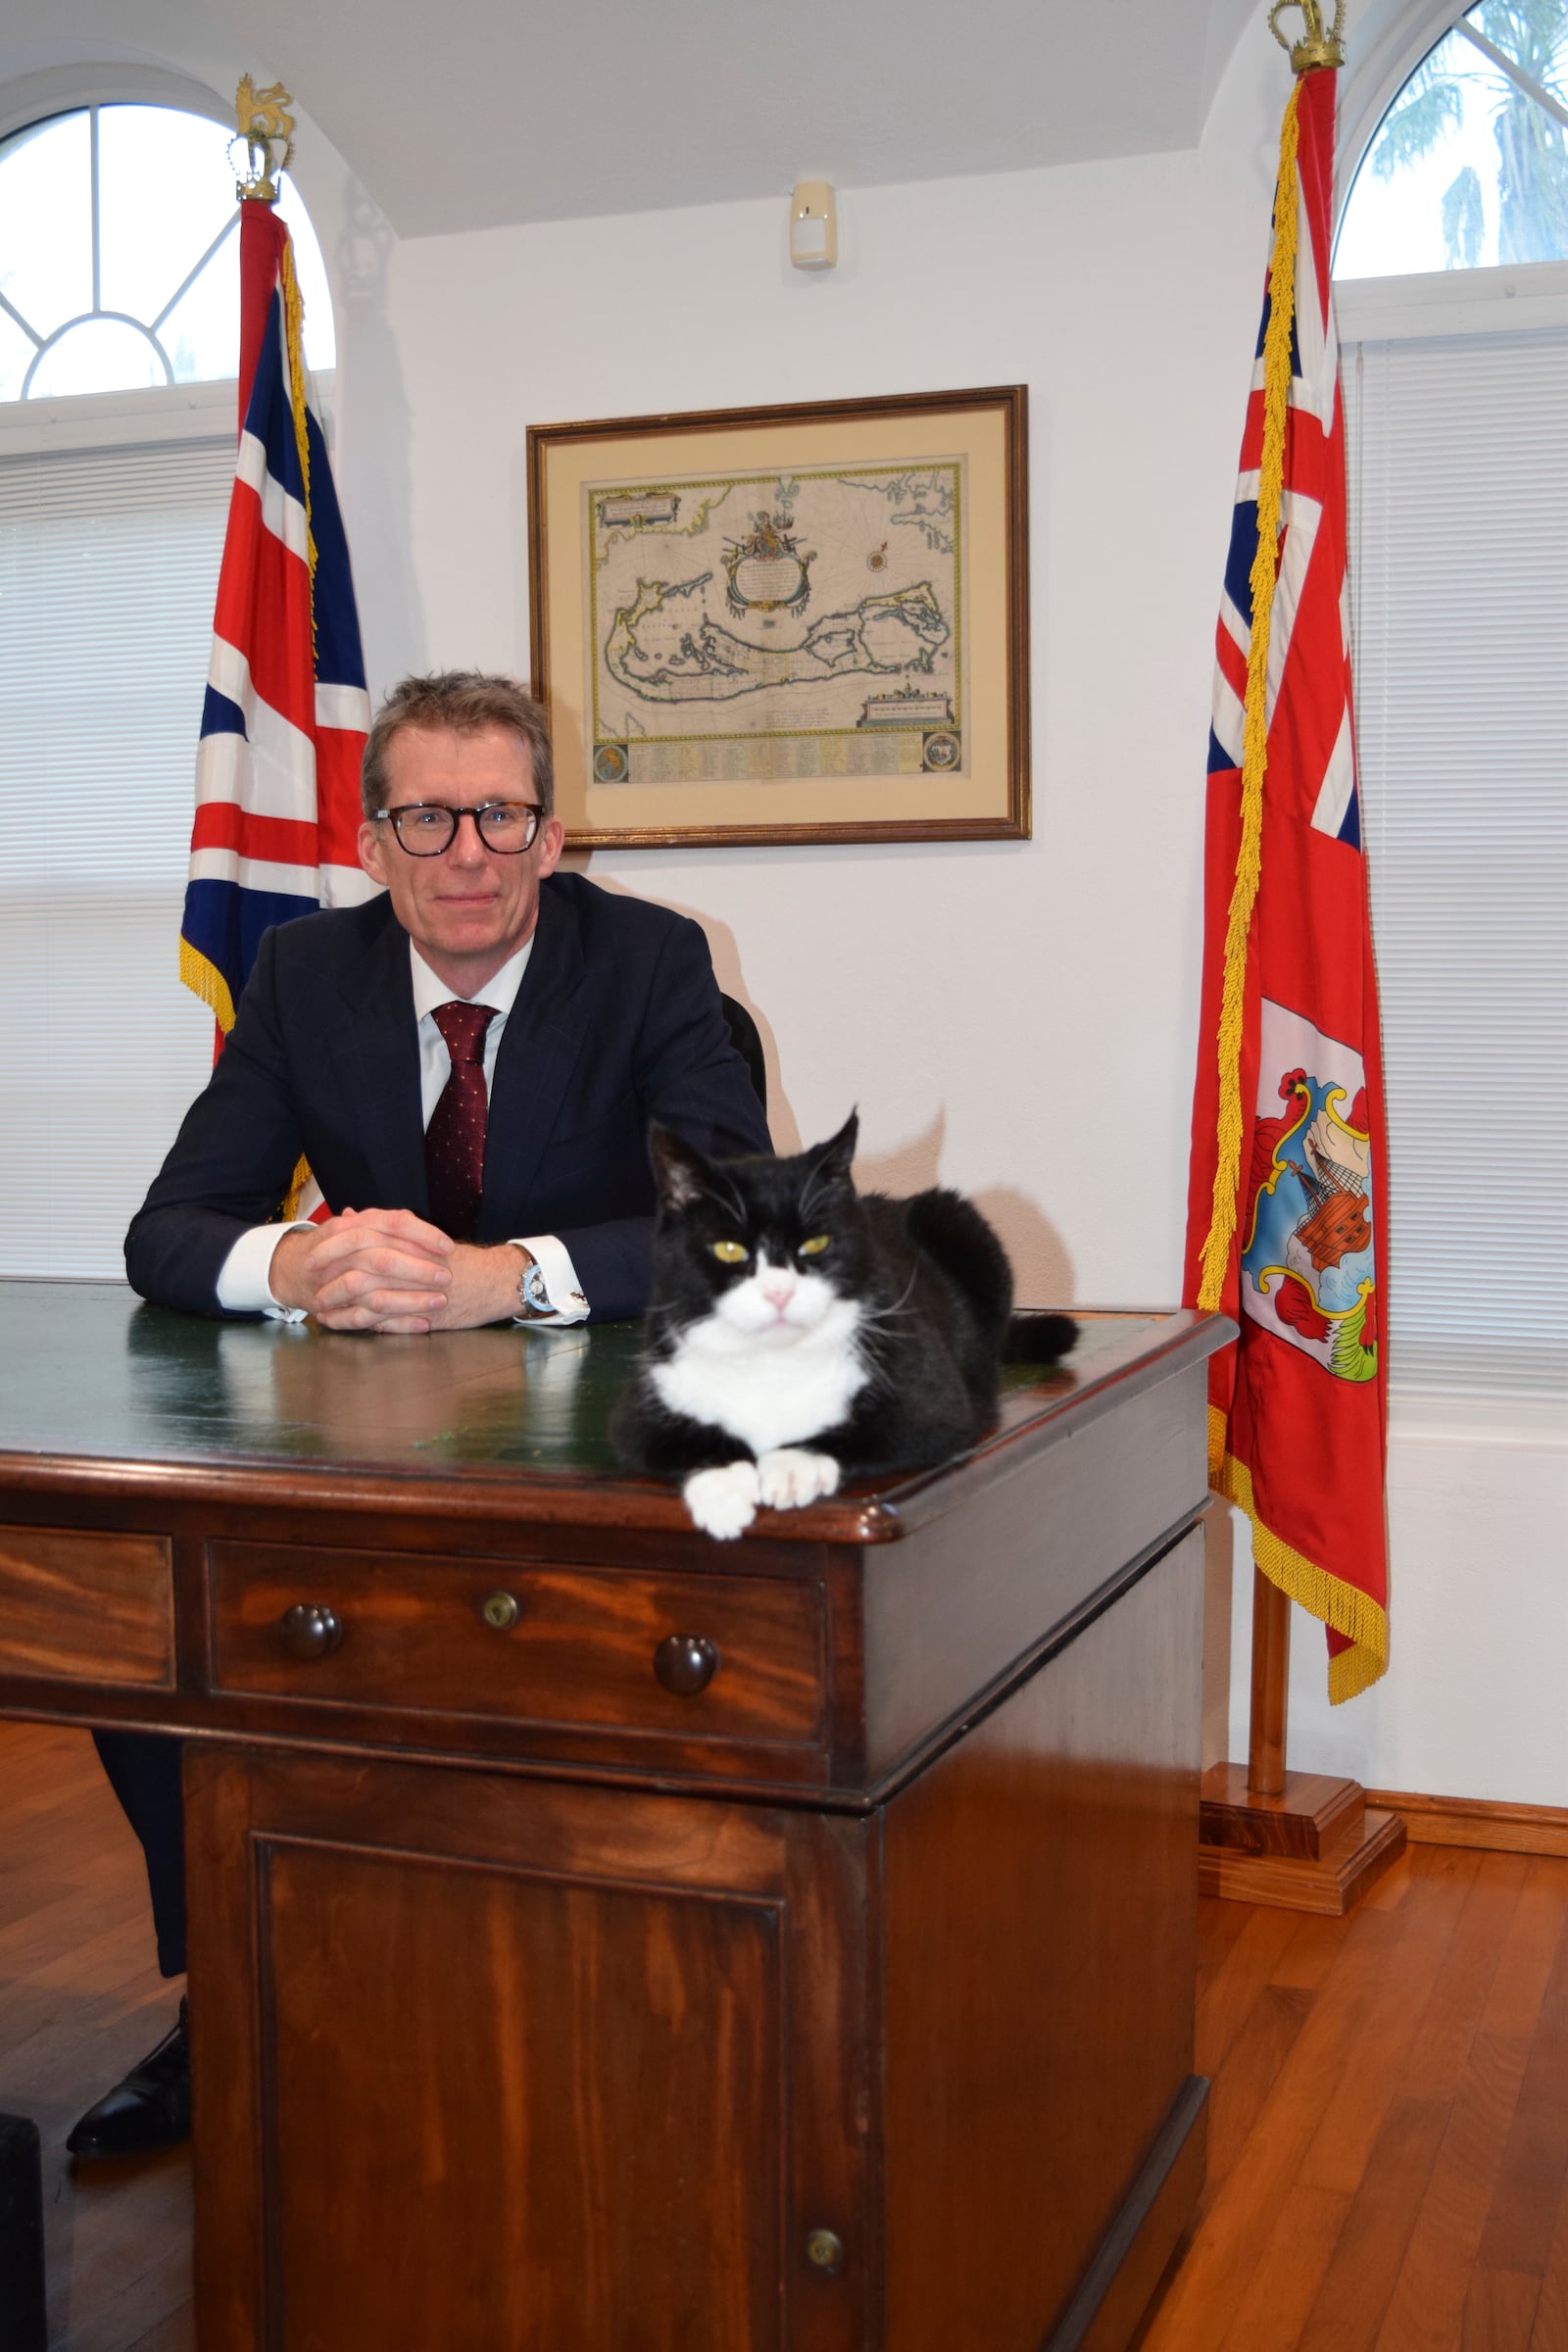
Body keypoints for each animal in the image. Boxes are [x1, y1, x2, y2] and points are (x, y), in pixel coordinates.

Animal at [611, 1119, 1081, 1543]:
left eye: (815, 1243)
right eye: (728, 1249)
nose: (779, 1292)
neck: (771, 1363)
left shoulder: (930, 1401)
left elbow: (873, 1429)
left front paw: (793, 1466)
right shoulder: (641, 1408)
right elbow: (672, 1439)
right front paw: (723, 1493)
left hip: (958, 1221)